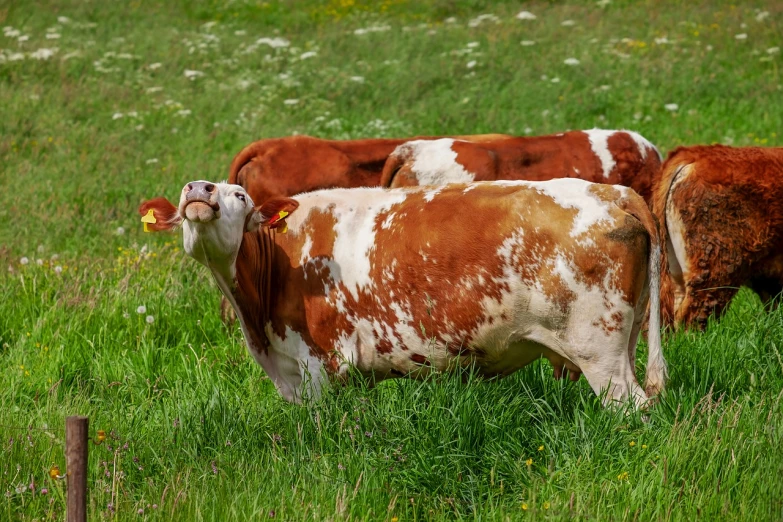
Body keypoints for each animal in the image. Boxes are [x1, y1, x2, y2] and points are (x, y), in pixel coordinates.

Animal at [141, 179, 668, 406]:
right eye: (186, 188)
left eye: (239, 195)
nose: (200, 190)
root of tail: (613, 190)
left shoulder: (320, 366)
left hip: (600, 350)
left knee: (633, 407)